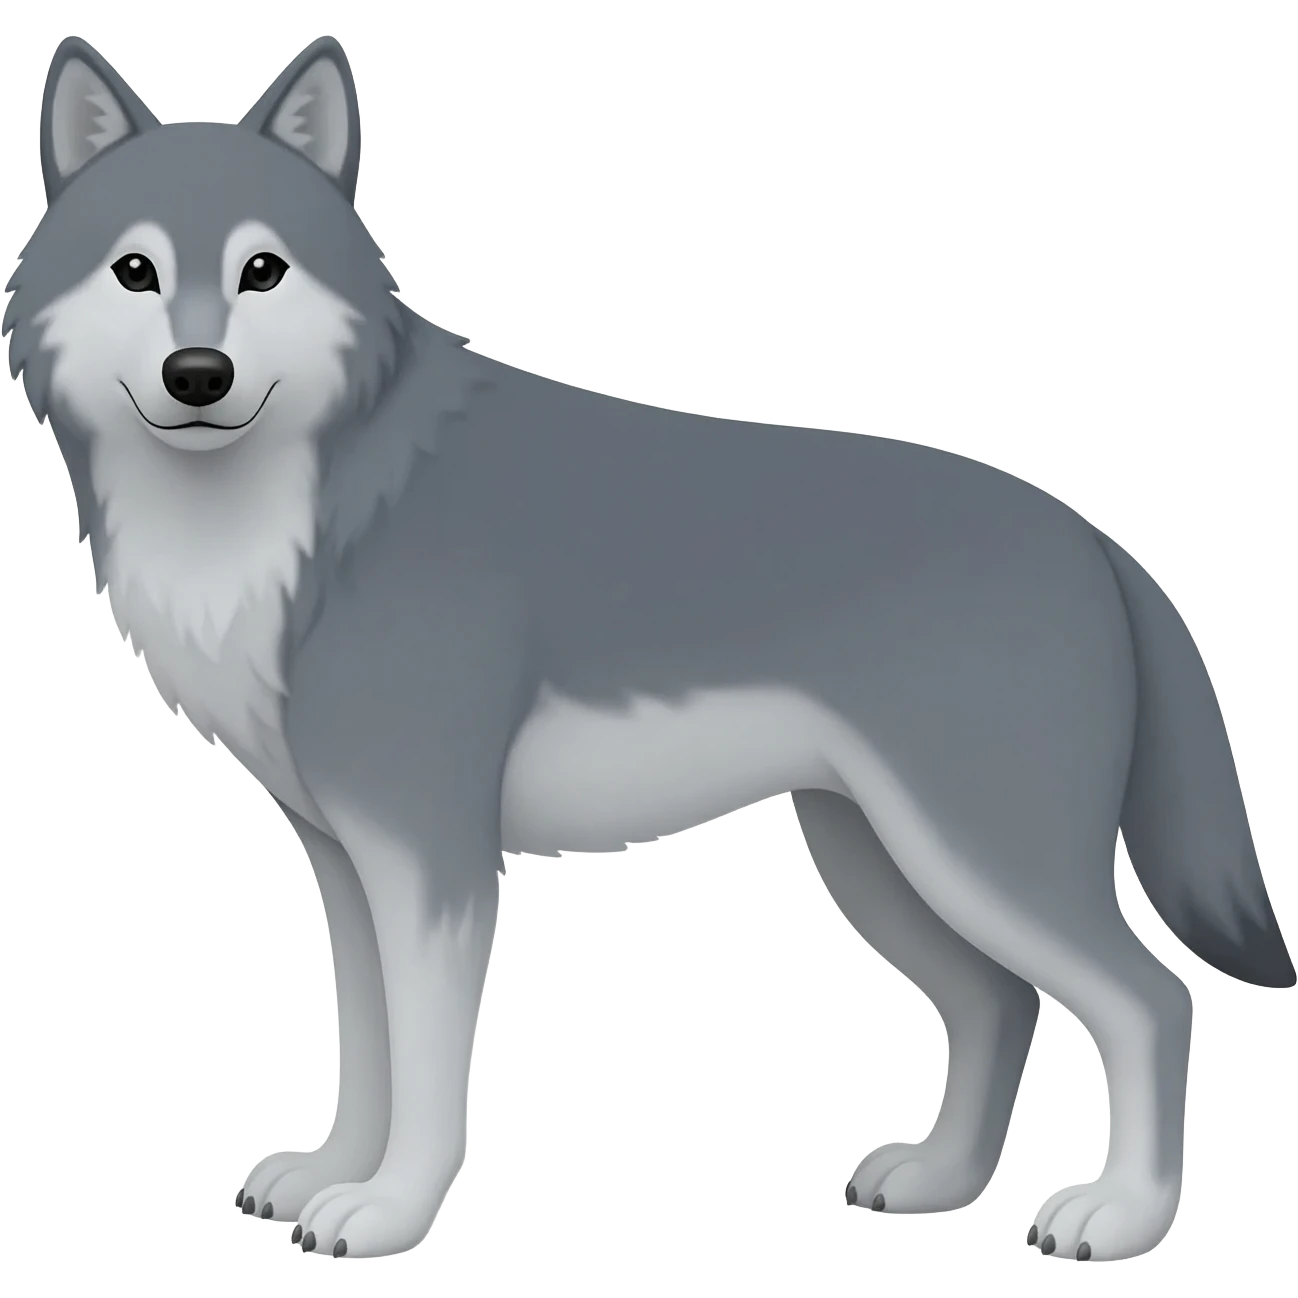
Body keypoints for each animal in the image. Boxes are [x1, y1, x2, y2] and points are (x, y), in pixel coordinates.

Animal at [4, 32, 1292, 1263]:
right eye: (137, 270)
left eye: (260, 270)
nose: (198, 375)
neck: (295, 514)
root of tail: (1094, 538)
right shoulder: (345, 856)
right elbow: (364, 1045)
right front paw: (330, 1173)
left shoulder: (433, 856)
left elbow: (425, 1066)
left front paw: (387, 1211)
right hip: (878, 858)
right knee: (997, 1002)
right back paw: (937, 1178)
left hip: (974, 859)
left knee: (1146, 1001)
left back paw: (1118, 1216)